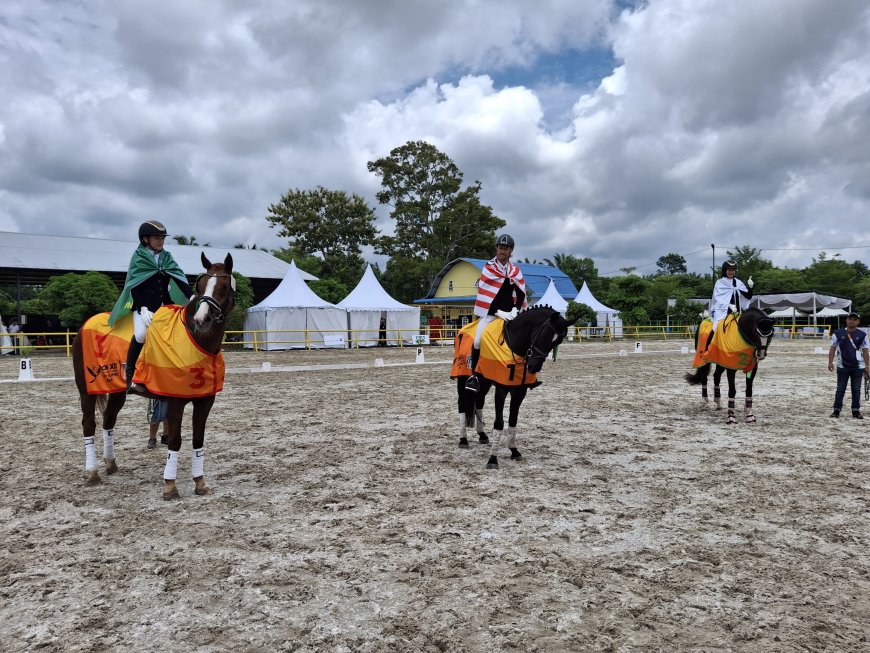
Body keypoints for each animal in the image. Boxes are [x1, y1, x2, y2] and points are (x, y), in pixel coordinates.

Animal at [73, 253, 235, 499]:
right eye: (201, 286)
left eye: (224, 286)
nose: (201, 320)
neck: (194, 339)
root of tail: (85, 325)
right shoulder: (175, 401)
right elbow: (175, 441)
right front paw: (170, 485)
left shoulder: (205, 401)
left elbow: (198, 439)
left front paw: (200, 482)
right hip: (87, 391)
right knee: (88, 424)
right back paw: (92, 473)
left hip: (118, 391)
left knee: (109, 419)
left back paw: (110, 463)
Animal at [451, 306, 577, 468]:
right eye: (544, 334)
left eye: (558, 341)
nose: (534, 367)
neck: (514, 346)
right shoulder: (501, 390)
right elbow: (499, 423)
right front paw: (493, 459)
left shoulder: (520, 391)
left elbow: (513, 420)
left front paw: (514, 451)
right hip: (462, 379)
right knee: (462, 405)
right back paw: (463, 440)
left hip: (484, 382)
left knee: (479, 401)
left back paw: (482, 435)